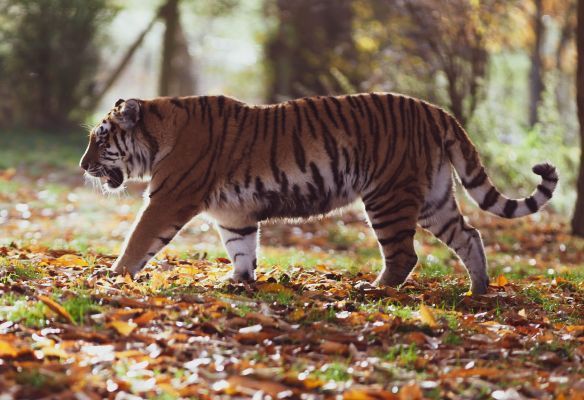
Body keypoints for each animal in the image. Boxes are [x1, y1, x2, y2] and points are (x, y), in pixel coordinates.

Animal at [80, 93, 560, 294]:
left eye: (100, 141)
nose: (83, 166)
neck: (159, 133)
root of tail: (436, 110)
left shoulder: (168, 199)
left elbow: (138, 239)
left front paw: (113, 275)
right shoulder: (234, 214)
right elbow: (242, 248)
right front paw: (238, 281)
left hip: (388, 196)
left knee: (404, 255)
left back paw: (374, 290)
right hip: (433, 199)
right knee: (469, 236)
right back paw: (478, 291)